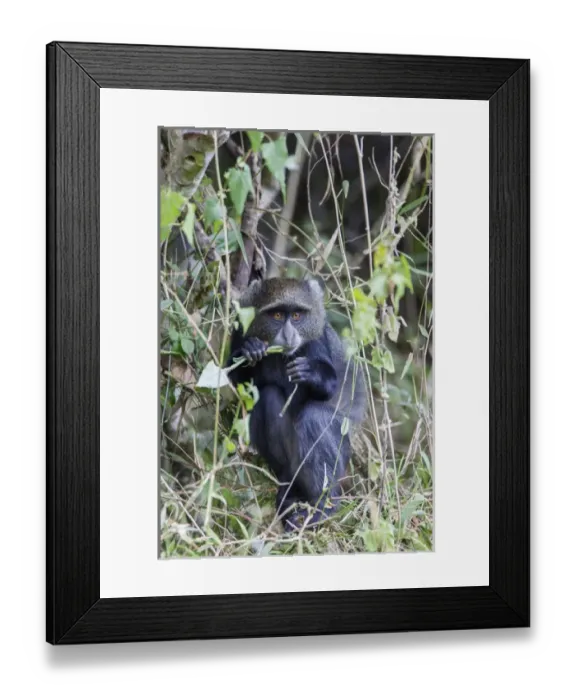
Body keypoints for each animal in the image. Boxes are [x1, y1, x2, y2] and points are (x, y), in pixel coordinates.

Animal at [226, 277, 366, 532]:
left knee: (315, 415)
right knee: (268, 396)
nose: (290, 335)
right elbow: (236, 380)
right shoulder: (239, 329)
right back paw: (289, 487)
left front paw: (311, 373)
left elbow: (330, 387)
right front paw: (251, 349)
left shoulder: (317, 341)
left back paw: (323, 505)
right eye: (277, 315)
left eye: (298, 316)